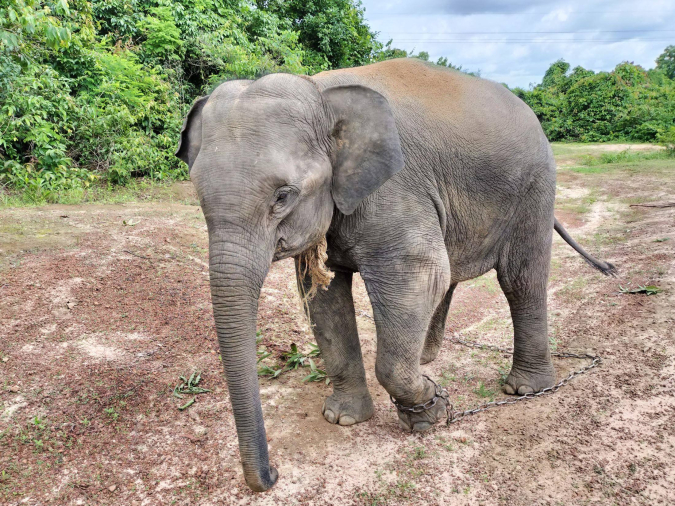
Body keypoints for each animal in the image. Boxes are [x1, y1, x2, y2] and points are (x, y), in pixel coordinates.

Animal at [176, 57, 616, 492]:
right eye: (197, 194)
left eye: (283, 196)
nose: (273, 476)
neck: (321, 91)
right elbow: (325, 299)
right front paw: (344, 419)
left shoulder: (394, 190)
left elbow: (416, 271)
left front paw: (430, 412)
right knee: (452, 274)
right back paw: (427, 356)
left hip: (534, 187)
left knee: (520, 278)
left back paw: (525, 388)